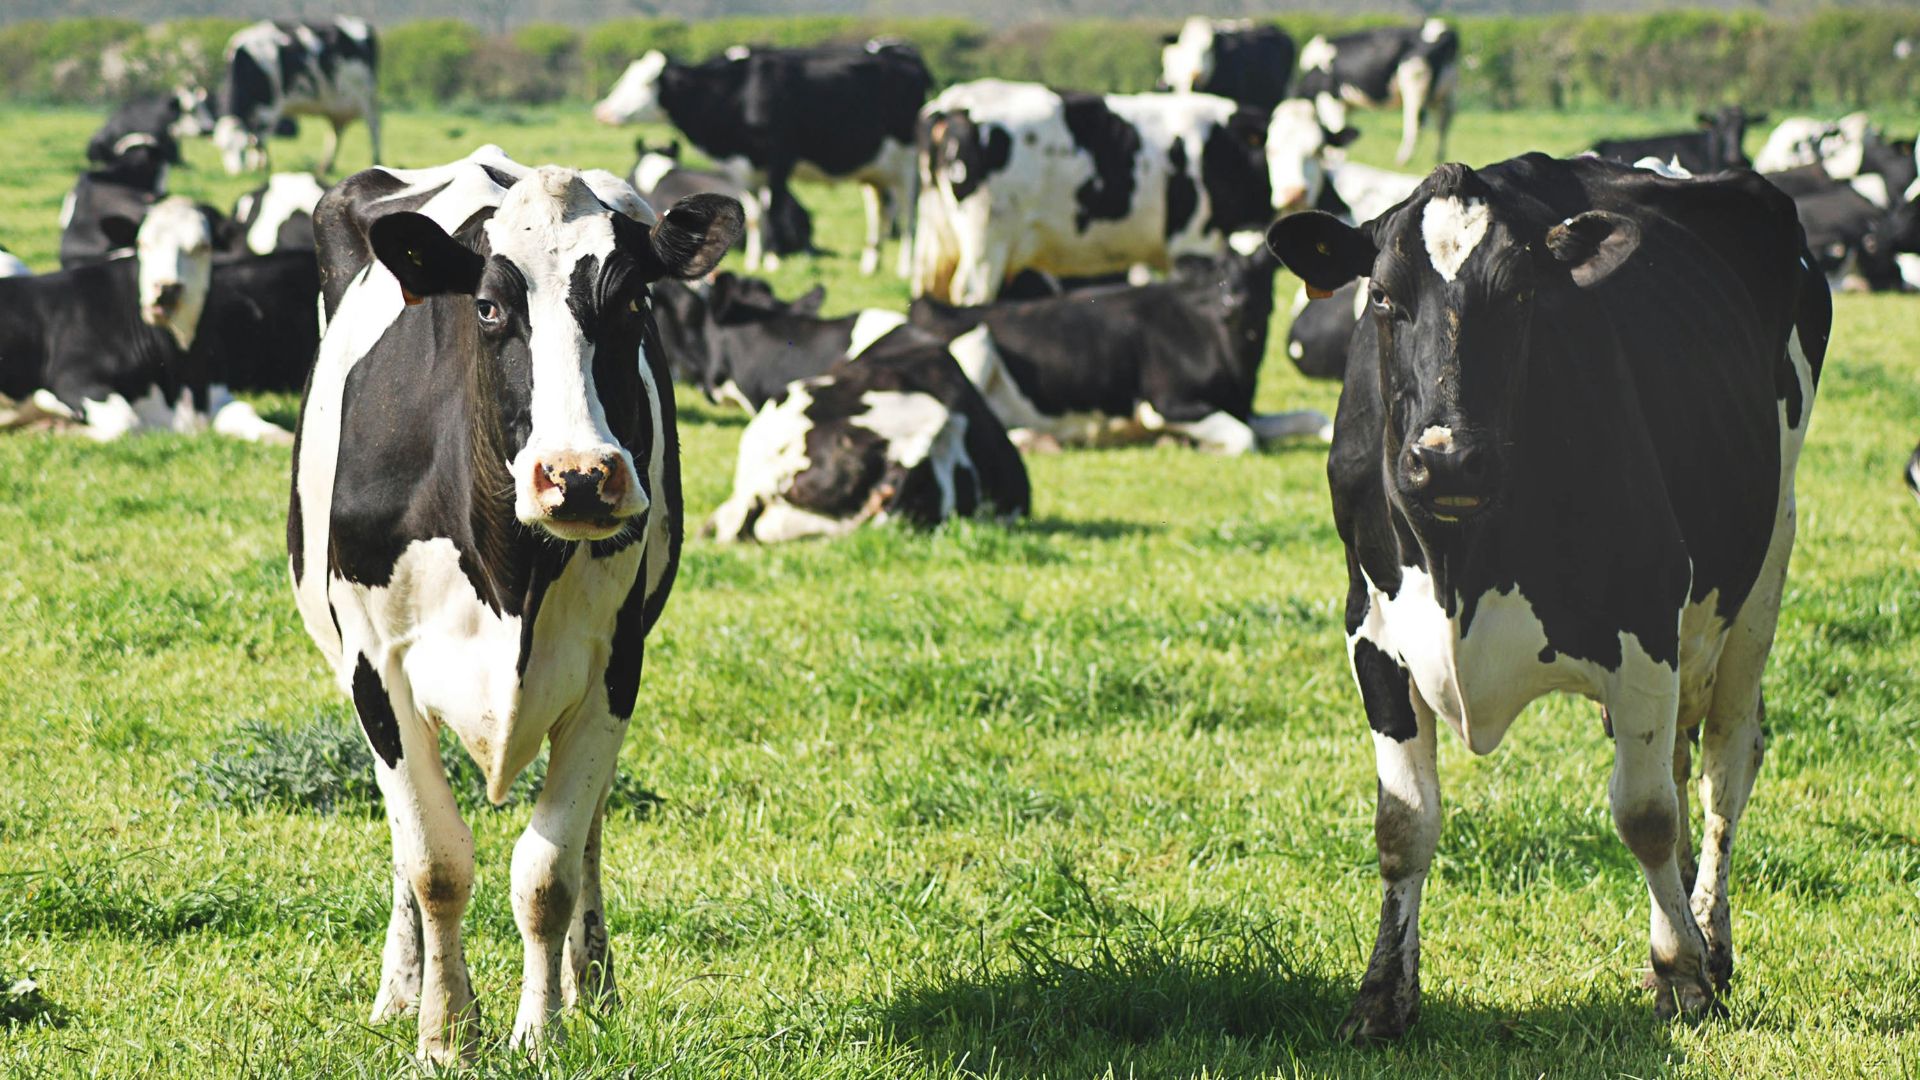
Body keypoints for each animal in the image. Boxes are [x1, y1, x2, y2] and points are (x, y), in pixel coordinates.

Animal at [214, 17, 380, 176]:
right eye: (223, 149)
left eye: (242, 149)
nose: (236, 173)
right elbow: (257, 138)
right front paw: (254, 166)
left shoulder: (269, 107)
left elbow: (261, 138)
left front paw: (262, 167)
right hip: (336, 106)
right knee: (336, 132)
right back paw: (326, 167)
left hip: (367, 96)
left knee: (374, 127)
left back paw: (376, 160)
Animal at [288, 149, 741, 1063]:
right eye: (491, 306)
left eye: (633, 301)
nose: (579, 475)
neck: (511, 573)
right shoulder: (374, 668)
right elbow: (434, 861)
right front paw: (444, 1032)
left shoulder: (614, 667)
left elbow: (546, 871)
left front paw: (542, 1031)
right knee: (405, 846)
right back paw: (400, 988)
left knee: (591, 826)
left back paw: (593, 983)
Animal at [909, 247, 1329, 454]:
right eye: (1216, 275)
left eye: (1261, 270)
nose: (1234, 303)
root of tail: (933, 305)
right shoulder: (1164, 403)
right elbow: (1245, 439)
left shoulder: (1242, 407)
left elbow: (1313, 418)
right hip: (975, 345)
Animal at [1265, 153, 1828, 1040]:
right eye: (1382, 295)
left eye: (1522, 293)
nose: (1446, 459)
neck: (1459, 559)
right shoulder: (1372, 631)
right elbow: (1403, 822)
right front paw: (1383, 995)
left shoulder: (1644, 618)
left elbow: (1645, 814)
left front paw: (1683, 976)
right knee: (1680, 762)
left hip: (1765, 562)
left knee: (1723, 766)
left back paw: (1713, 940)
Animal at [1294, 20, 1460, 166]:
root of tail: (1444, 31)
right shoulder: (1347, 104)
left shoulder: (1330, 98)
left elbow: (1336, 127)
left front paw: (1336, 159)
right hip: (1446, 94)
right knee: (1443, 123)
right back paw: (1438, 157)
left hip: (1414, 86)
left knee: (1416, 123)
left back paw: (1402, 160)